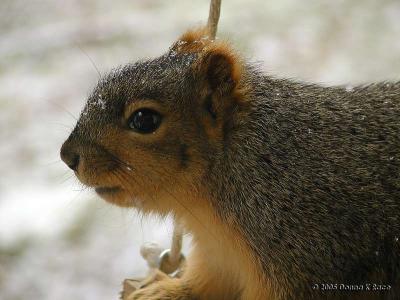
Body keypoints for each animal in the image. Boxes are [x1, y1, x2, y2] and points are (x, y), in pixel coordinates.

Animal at [60, 27, 400, 298]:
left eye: (145, 120)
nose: (67, 156)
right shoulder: (219, 257)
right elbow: (205, 285)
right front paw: (160, 291)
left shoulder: (305, 255)